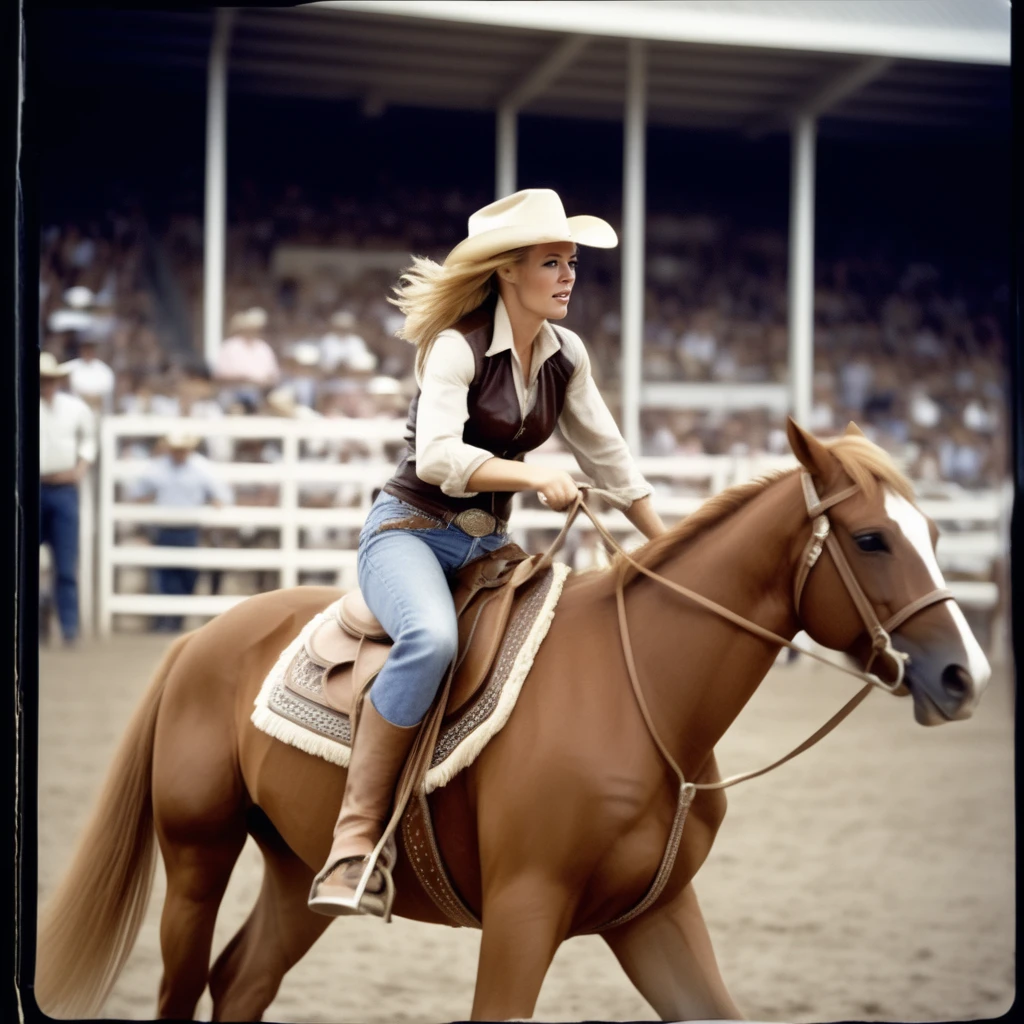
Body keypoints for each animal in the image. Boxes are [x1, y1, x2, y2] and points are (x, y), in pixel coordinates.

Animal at [34, 419, 991, 1019]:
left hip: (296, 875)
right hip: (197, 855)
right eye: (870, 539)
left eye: (937, 533)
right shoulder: (525, 914)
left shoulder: (655, 917)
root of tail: (201, 640)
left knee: (241, 983)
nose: (965, 675)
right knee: (185, 985)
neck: (641, 696)